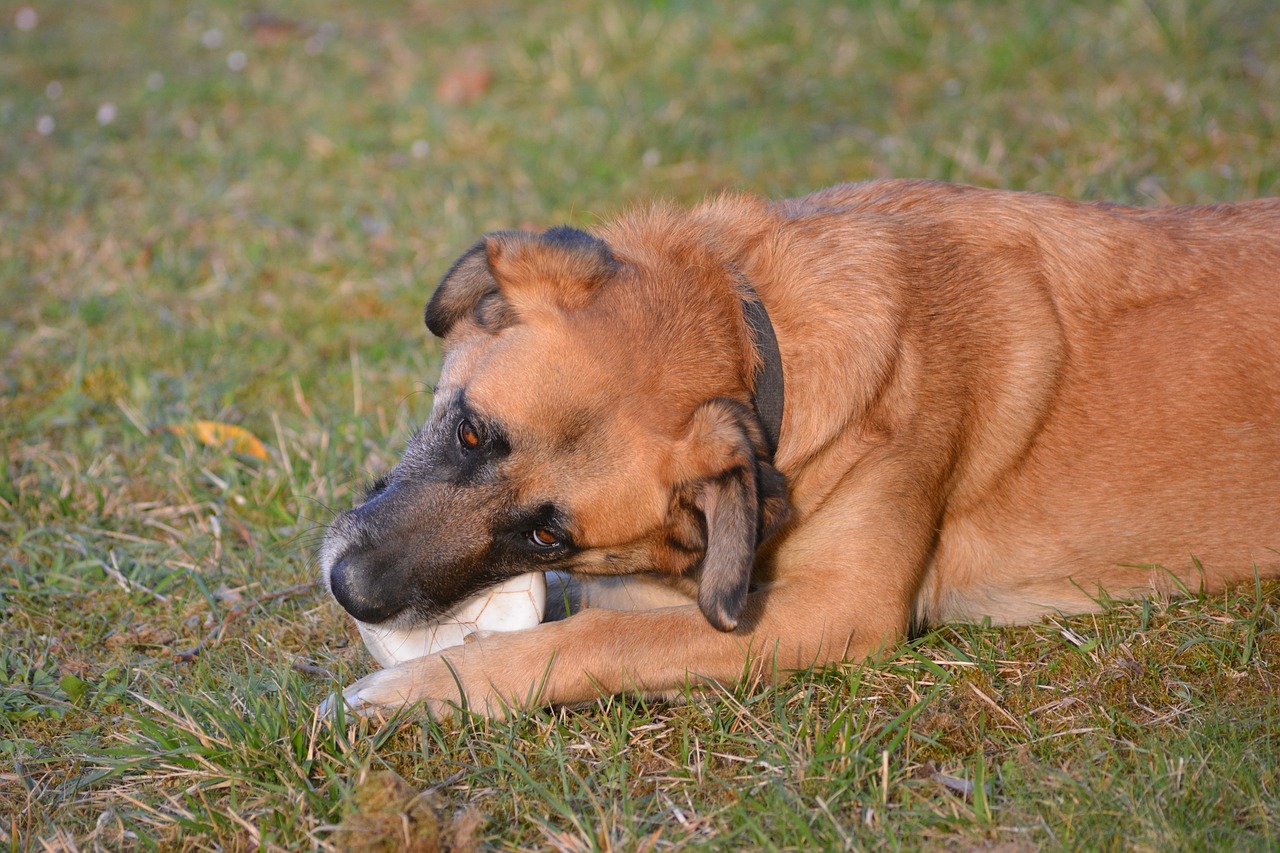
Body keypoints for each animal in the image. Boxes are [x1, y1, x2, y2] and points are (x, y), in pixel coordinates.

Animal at [320, 179, 1280, 717]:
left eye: (549, 533)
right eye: (469, 430)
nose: (349, 589)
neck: (757, 333)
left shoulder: (838, 610)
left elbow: (597, 635)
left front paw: (421, 687)